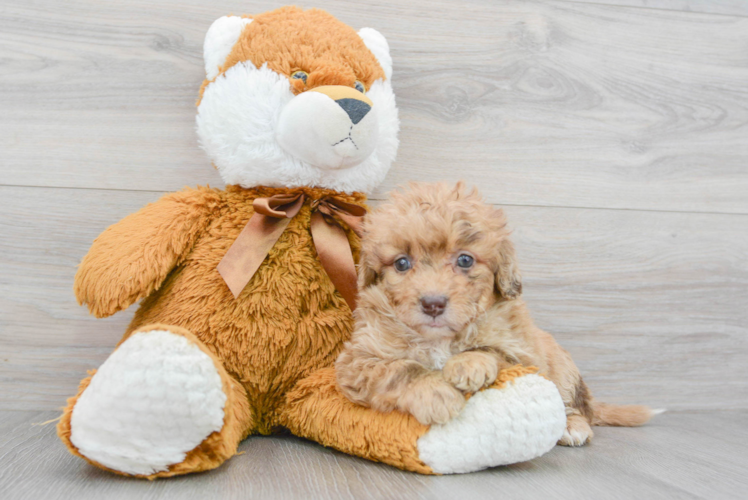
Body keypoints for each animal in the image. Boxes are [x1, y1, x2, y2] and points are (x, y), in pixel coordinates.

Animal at [336, 183, 656, 446]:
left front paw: (468, 364)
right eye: (402, 263)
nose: (433, 304)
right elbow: (401, 369)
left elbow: (492, 350)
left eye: (465, 260)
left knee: (572, 404)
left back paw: (572, 427)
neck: (440, 340)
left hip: (562, 368)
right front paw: (436, 394)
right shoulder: (357, 360)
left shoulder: (524, 355)